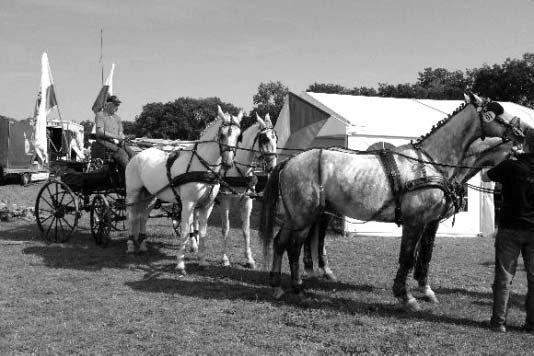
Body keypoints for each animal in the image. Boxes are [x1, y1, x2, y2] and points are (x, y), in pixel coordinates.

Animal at [125, 107, 243, 274]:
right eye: (222, 135)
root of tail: (136, 155)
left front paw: (202, 261)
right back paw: (130, 246)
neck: (204, 166)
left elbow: (203, 233)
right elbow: (186, 231)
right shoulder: (188, 203)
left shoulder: (207, 205)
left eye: (239, 136)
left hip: (150, 196)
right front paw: (180, 264)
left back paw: (141, 245)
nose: (228, 163)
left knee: (142, 217)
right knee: (131, 216)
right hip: (133, 193)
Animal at [219, 112, 278, 268]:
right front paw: (225, 259)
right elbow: (225, 229)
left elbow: (246, 230)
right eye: (264, 139)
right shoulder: (225, 201)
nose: (272, 166)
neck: (238, 170)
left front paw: (249, 259)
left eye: (276, 138)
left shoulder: (247, 201)